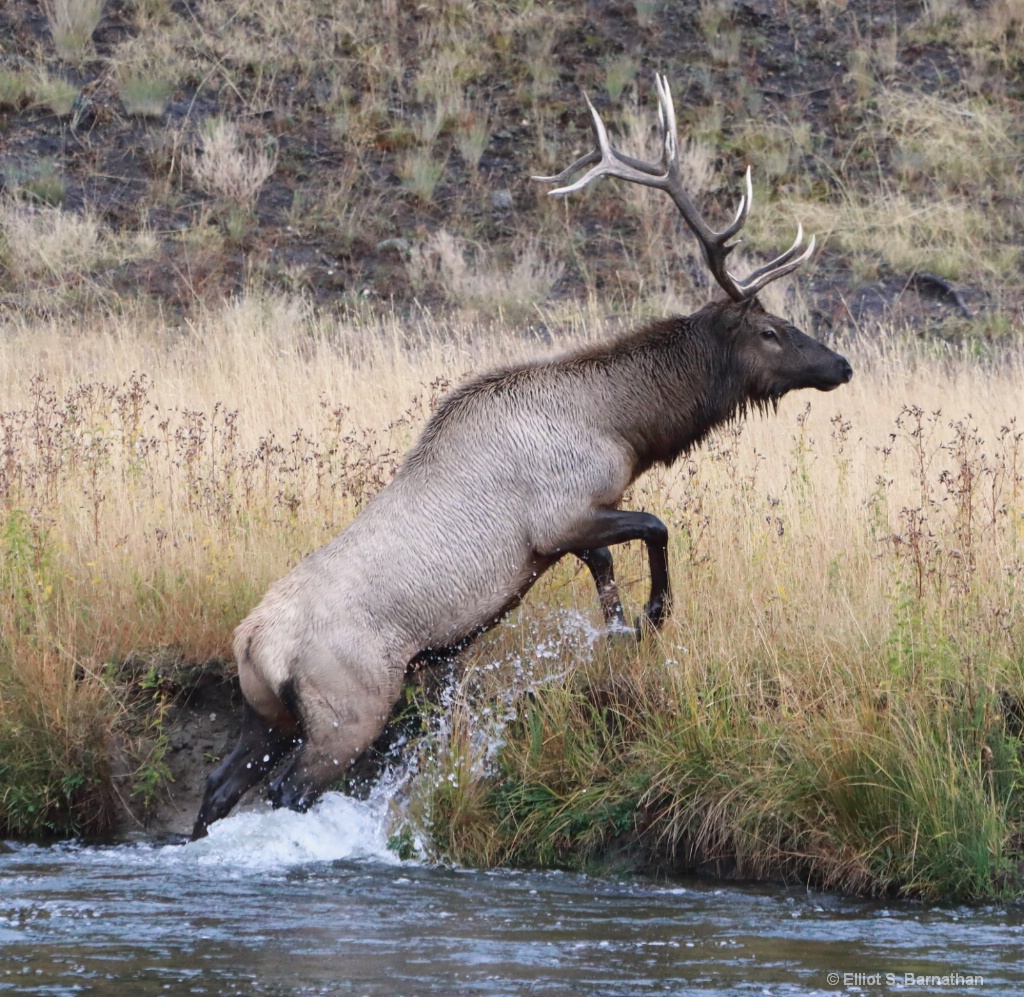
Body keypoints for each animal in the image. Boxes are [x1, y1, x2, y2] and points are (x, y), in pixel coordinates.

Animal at [190, 76, 847, 843]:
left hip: (264, 713)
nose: (841, 364)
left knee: (216, 785)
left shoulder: (576, 528)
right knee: (290, 790)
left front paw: (619, 630)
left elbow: (608, 565)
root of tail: (251, 644)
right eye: (772, 330)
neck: (624, 428)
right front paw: (653, 615)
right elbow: (655, 527)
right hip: (345, 709)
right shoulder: (561, 518)